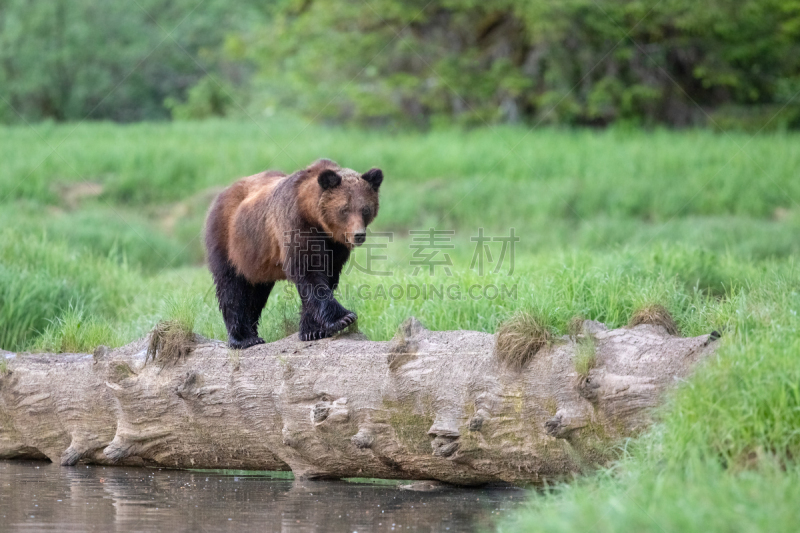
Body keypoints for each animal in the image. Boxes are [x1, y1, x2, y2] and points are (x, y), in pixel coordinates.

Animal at [205, 160, 382, 348]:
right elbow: (310, 273)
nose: (358, 235)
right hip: (230, 241)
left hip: (258, 261)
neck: (314, 218)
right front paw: (344, 318)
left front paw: (313, 330)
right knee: (231, 287)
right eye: (344, 209)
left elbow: (328, 276)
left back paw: (252, 333)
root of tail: (223, 193)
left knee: (256, 294)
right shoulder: (295, 225)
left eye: (365, 209)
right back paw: (243, 338)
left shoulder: (335, 246)